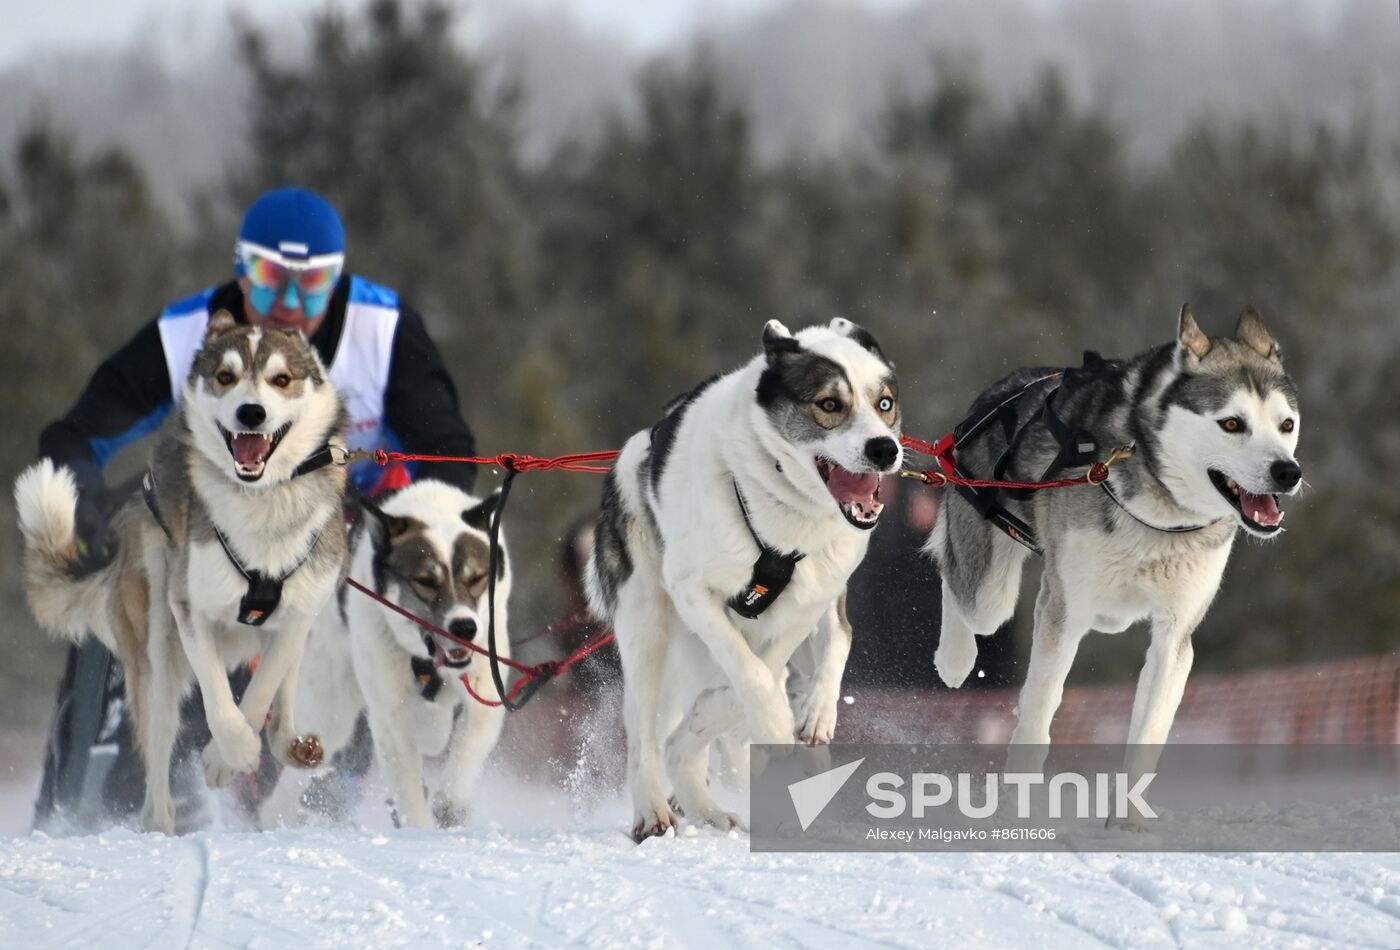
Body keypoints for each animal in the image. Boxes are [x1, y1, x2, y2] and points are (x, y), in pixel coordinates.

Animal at [588, 318, 896, 839]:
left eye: (885, 404)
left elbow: (763, 669)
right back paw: (653, 809)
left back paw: (707, 800)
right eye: (829, 404)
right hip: (647, 622)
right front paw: (772, 721)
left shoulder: (804, 602)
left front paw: (745, 715)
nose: (885, 448)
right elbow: (750, 673)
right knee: (645, 730)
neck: (782, 512)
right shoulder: (693, 591)